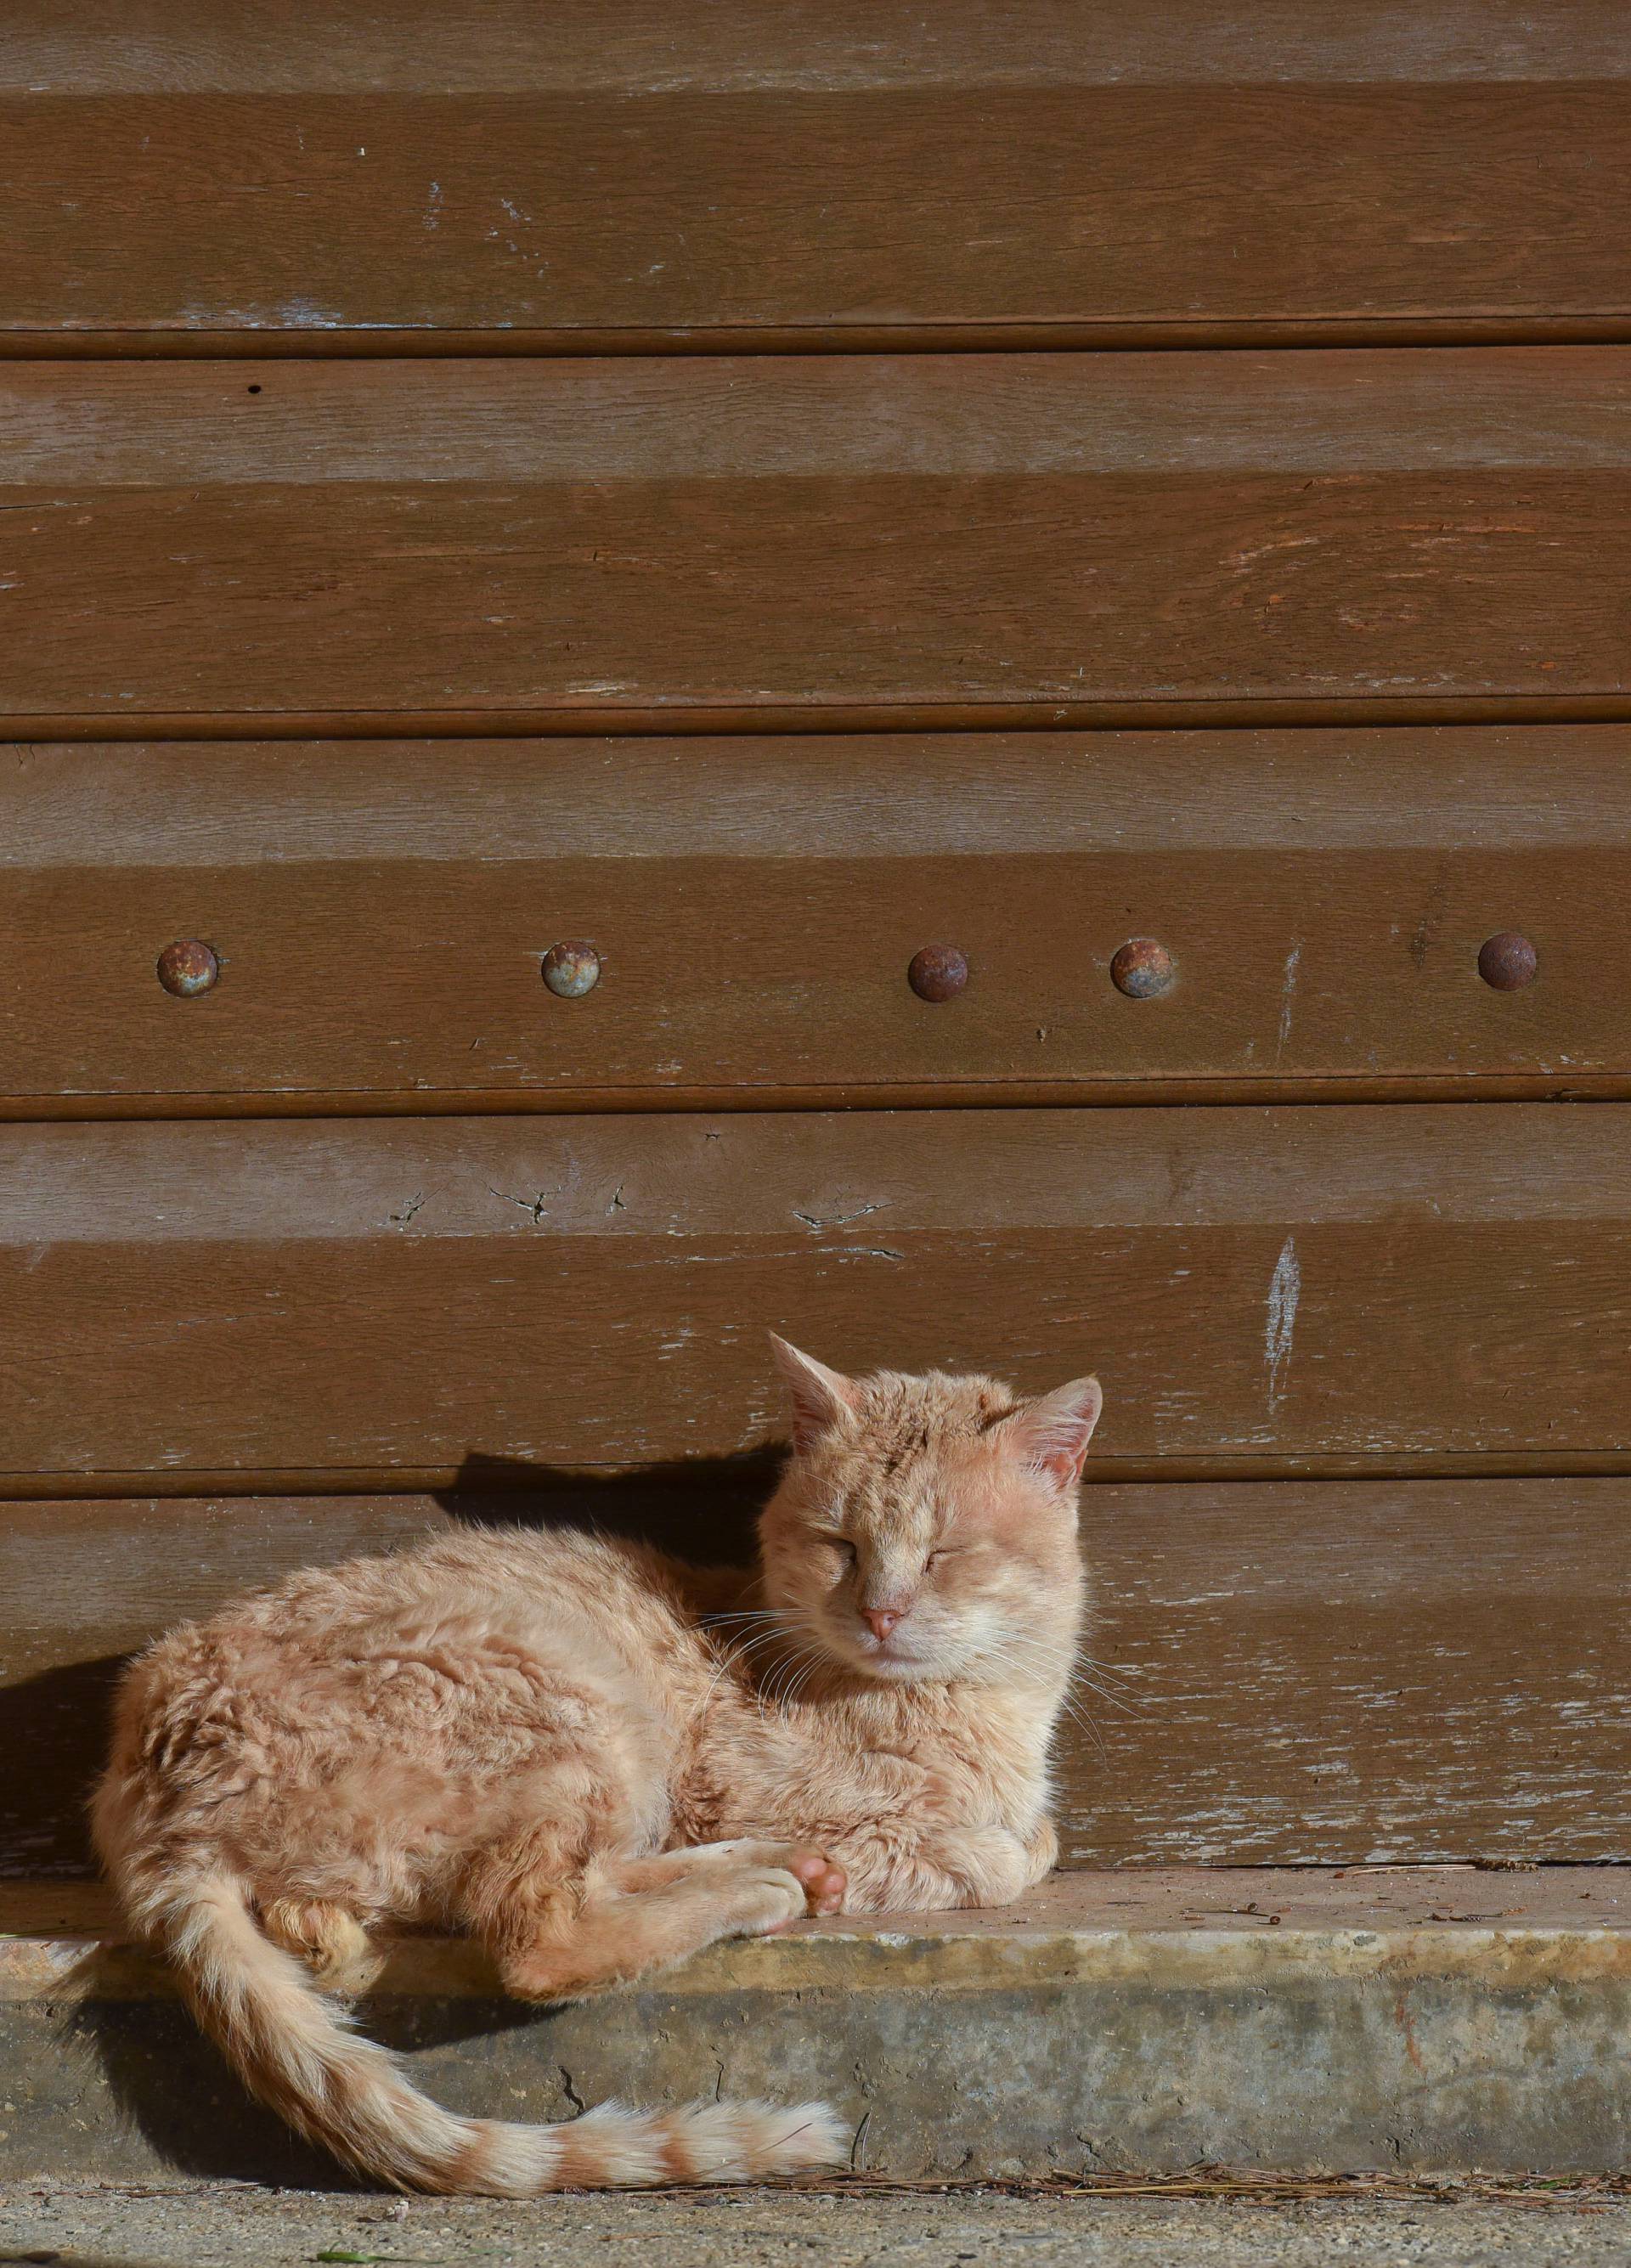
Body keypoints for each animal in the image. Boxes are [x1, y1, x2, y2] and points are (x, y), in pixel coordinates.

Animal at [95, 1333, 1102, 2186]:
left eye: (945, 1555)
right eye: (840, 1545)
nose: (881, 1613)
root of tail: (153, 1794)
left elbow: (1031, 1834)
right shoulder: (737, 1788)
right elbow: (997, 1854)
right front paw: (937, 1853)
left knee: (587, 1881)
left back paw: (775, 1873)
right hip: (574, 1703)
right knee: (539, 1938)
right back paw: (763, 1887)